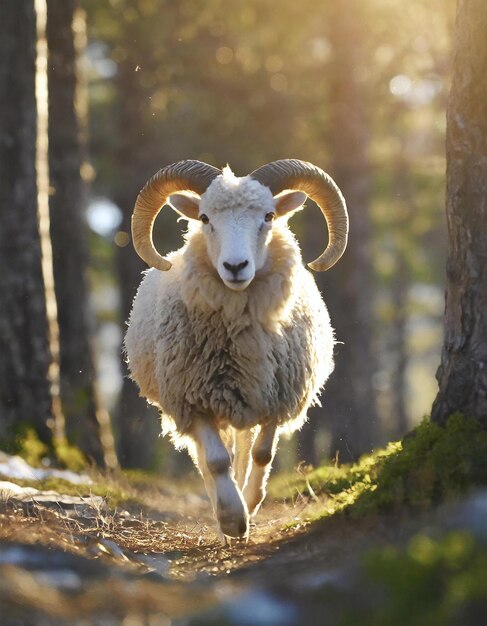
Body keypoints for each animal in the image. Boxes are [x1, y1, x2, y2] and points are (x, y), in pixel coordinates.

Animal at [124, 157, 348, 540]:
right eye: (204, 218)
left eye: (269, 216)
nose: (235, 267)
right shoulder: (192, 400)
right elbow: (215, 461)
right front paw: (231, 519)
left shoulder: (276, 396)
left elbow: (262, 454)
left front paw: (251, 505)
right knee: (211, 458)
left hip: (245, 402)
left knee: (242, 452)